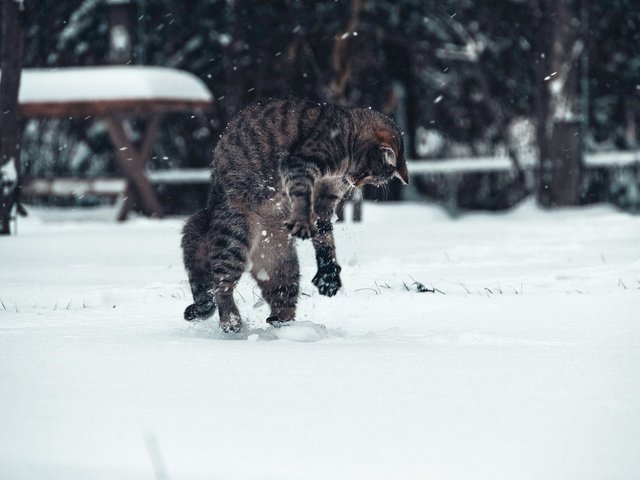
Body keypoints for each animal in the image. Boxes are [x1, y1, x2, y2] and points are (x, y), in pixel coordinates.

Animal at [182, 98, 408, 334]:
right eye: (369, 173)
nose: (356, 183)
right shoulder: (301, 163)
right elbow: (302, 194)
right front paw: (302, 221)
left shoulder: (325, 199)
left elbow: (325, 237)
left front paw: (328, 273)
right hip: (233, 237)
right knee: (222, 285)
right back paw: (231, 320)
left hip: (282, 264)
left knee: (281, 298)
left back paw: (286, 326)